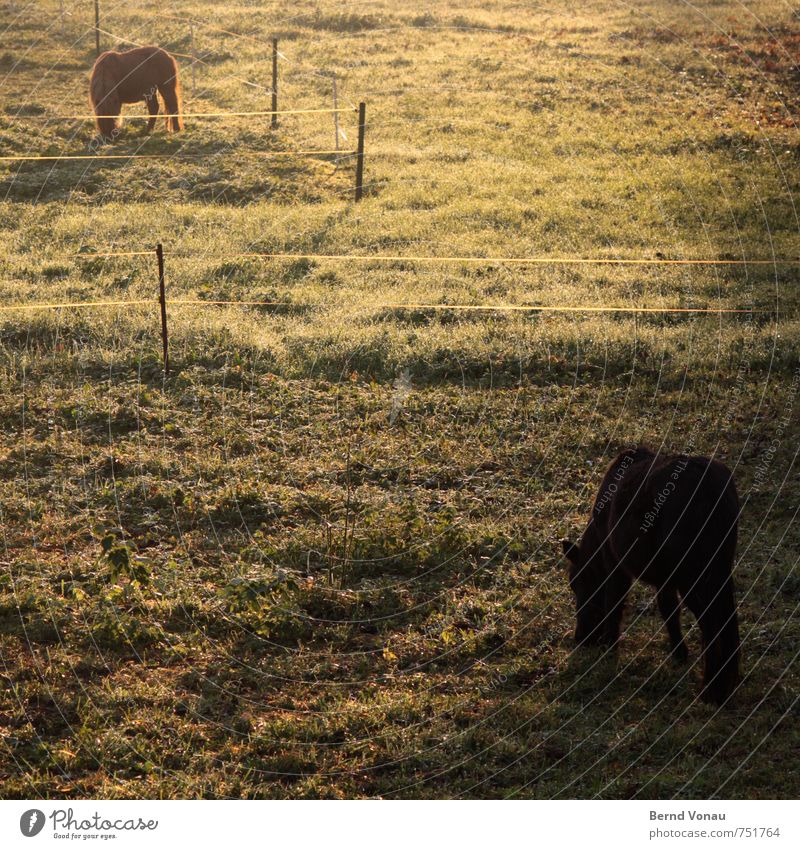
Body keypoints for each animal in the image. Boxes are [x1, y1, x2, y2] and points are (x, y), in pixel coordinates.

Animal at [560, 444, 740, 704]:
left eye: (575, 582)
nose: (582, 637)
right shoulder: (664, 578)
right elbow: (669, 610)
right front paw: (679, 652)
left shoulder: (616, 565)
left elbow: (614, 604)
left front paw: (609, 648)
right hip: (719, 568)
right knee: (726, 619)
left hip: (694, 575)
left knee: (712, 624)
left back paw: (712, 690)